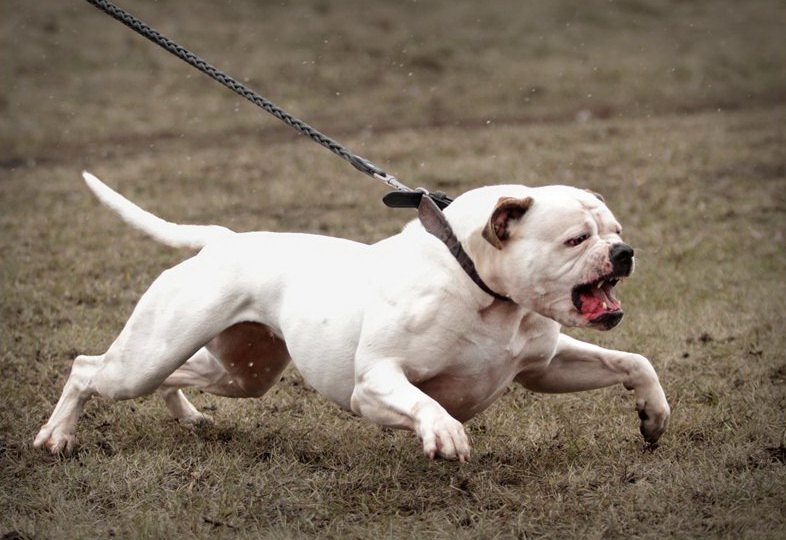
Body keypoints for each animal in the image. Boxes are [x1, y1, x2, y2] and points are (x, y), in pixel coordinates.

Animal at [34, 172, 670, 460]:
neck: (484, 290)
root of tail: (224, 240)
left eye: (614, 230)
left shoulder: (546, 366)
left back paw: (188, 417)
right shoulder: (375, 384)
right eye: (575, 239)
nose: (623, 252)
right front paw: (444, 430)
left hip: (241, 373)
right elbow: (425, 402)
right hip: (149, 355)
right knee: (89, 368)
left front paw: (653, 415)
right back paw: (57, 436)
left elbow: (634, 361)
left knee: (176, 376)